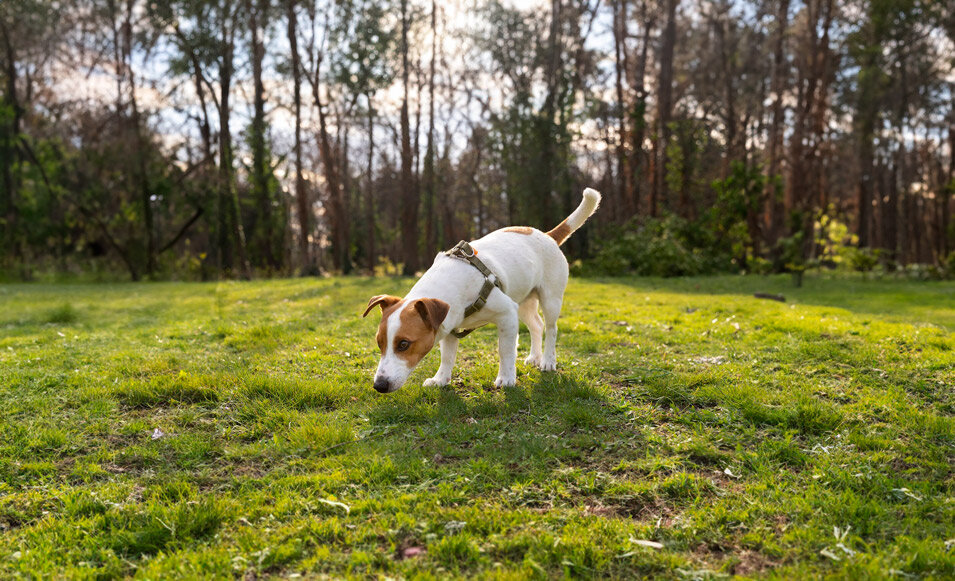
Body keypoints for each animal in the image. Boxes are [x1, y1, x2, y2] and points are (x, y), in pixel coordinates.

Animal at [362, 188, 600, 392]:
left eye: (403, 344)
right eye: (379, 342)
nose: (379, 385)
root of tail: (548, 235)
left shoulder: (506, 314)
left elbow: (505, 351)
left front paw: (506, 378)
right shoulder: (450, 325)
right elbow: (447, 356)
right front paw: (441, 379)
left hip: (550, 299)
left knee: (550, 328)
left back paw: (548, 361)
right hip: (523, 301)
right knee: (536, 325)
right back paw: (535, 357)